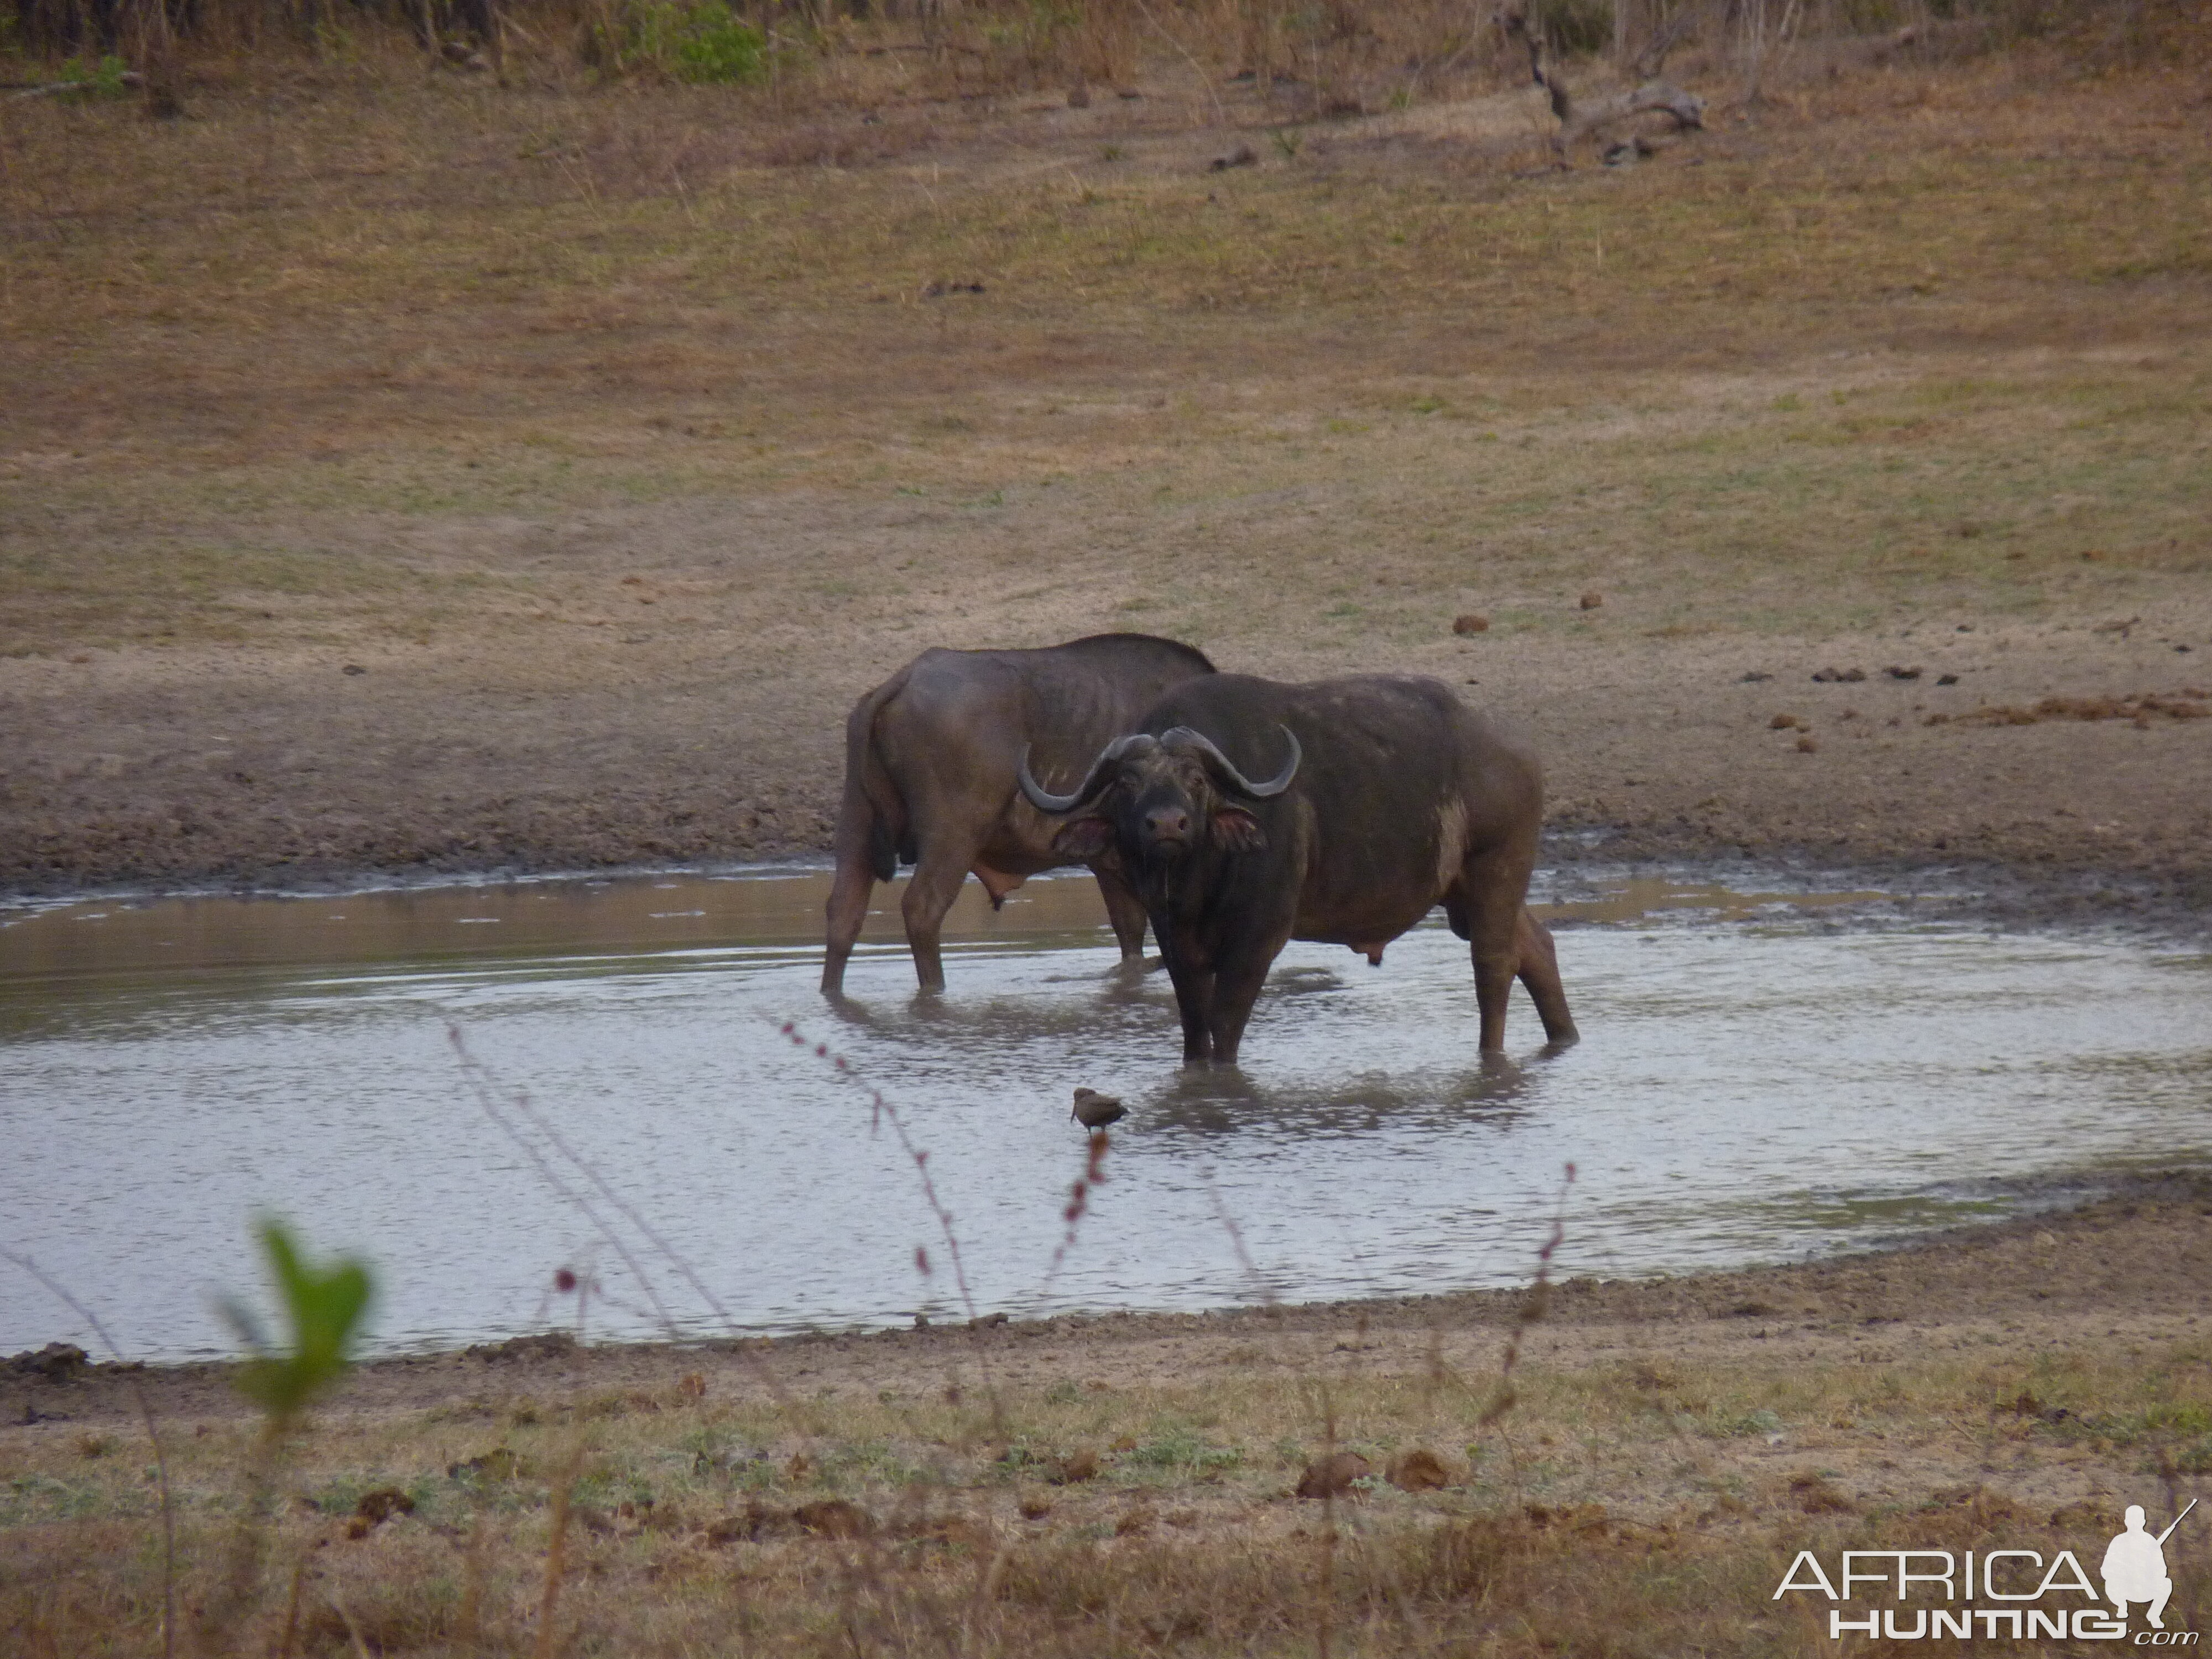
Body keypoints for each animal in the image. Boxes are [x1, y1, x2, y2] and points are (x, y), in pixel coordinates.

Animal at [823, 637, 1221, 1000]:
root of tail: (905, 678)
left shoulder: (1109, 865)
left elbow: (1131, 941)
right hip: (953, 835)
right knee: (923, 908)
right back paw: (935, 990)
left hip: (856, 822)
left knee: (844, 913)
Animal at [1013, 672, 1575, 1066]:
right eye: (1127, 782)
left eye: (1196, 778)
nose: (1168, 824)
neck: (1199, 880)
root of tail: (1513, 748)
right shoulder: (1174, 940)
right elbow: (1194, 1026)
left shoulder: (1258, 940)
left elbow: (1224, 1025)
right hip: (1460, 893)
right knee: (1536, 946)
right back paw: (1564, 1038)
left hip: (1497, 868)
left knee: (1494, 965)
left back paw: (1491, 1056)